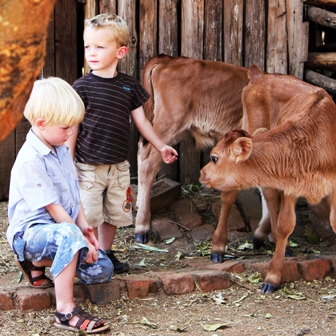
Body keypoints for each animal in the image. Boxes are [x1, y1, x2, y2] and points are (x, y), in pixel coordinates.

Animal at [200, 69, 336, 292]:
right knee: (231, 197)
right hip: (248, 127)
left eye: (214, 158)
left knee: (270, 196)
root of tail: (260, 74)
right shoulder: (290, 185)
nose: (201, 173)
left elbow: (332, 220)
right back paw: (218, 248)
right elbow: (285, 224)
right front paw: (272, 278)